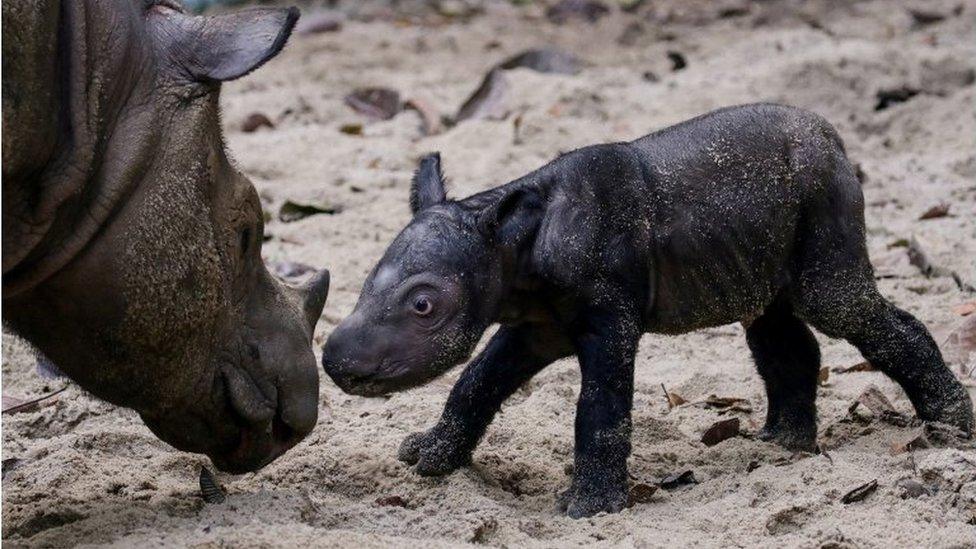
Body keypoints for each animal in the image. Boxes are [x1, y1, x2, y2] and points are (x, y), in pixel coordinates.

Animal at [324, 104, 972, 520]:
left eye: (424, 305)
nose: (335, 362)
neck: (511, 243)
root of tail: (836, 138)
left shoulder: (608, 315)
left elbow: (600, 406)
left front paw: (588, 510)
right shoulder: (534, 323)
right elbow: (477, 383)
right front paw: (428, 460)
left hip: (824, 196)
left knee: (839, 305)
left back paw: (951, 427)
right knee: (773, 325)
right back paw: (781, 447)